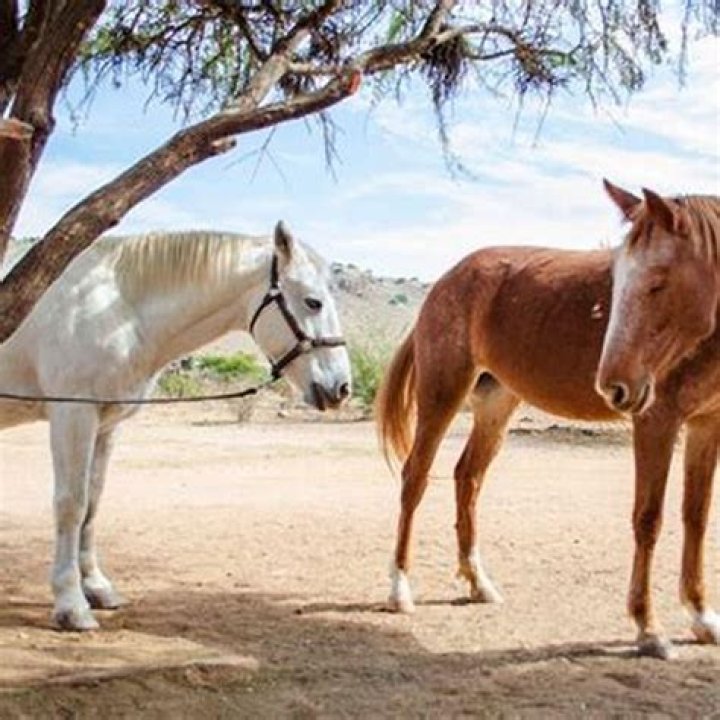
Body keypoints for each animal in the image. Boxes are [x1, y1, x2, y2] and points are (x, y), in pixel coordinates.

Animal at [0, 222, 351, 631]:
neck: (117, 304)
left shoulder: (105, 424)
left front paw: (98, 588)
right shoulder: (73, 416)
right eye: (313, 302)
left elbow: (93, 502)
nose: (341, 388)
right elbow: (71, 504)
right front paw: (71, 604)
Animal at [375, 181, 719, 659]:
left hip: (496, 404)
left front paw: (702, 617)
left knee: (468, 477)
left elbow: (697, 518)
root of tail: (447, 279)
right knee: (416, 478)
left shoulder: (707, 424)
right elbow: (648, 519)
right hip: (442, 394)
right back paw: (399, 589)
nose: (613, 385)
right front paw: (648, 628)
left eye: (658, 281)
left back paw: (478, 582)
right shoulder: (657, 420)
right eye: (616, 281)